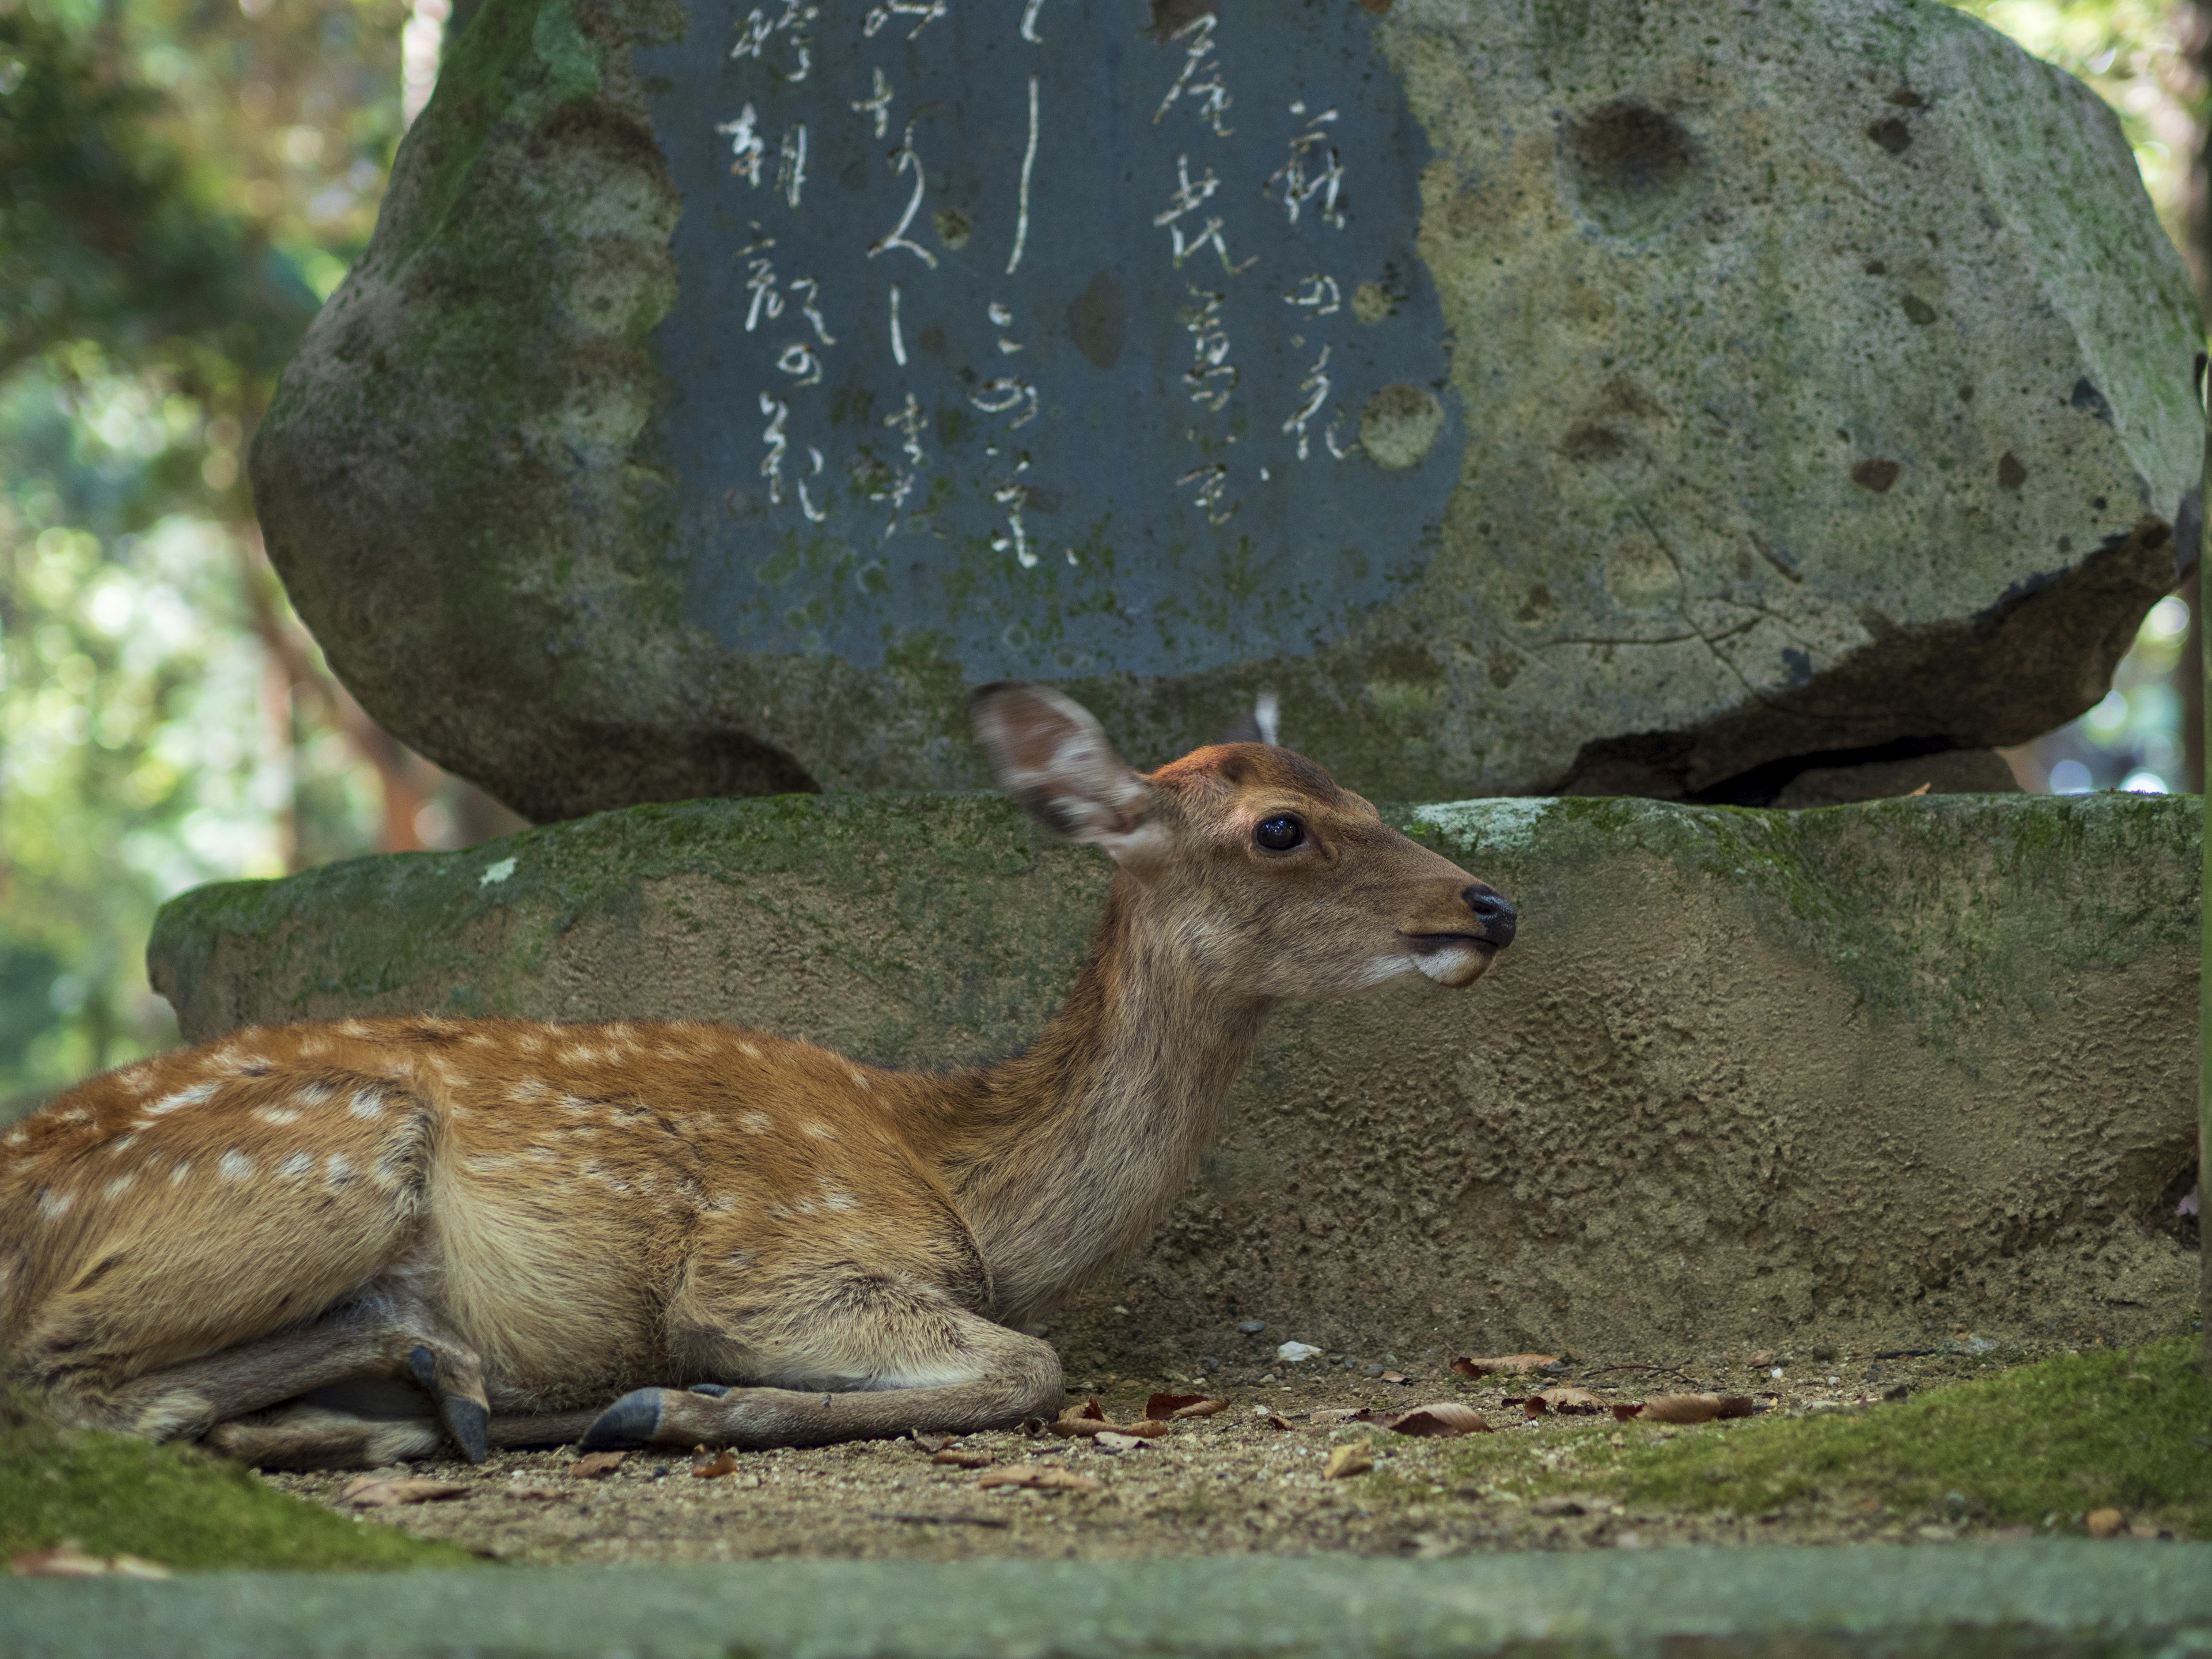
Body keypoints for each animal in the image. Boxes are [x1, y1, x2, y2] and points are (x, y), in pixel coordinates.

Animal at [0, 685, 1521, 1468]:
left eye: (1367, 794)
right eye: (1281, 828)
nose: (1492, 903)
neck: (959, 1177)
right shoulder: (773, 1258)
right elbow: (1029, 1364)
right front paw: (682, 1404)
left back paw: (422, 1406)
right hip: (323, 1154)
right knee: (73, 1383)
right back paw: (463, 1384)